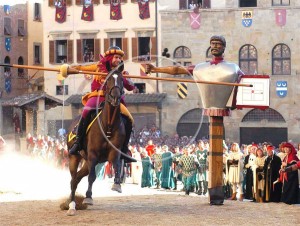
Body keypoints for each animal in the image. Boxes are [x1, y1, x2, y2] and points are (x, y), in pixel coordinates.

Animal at [66, 71, 126, 216]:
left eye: (121, 80)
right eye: (108, 79)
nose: (115, 97)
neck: (108, 125)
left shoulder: (114, 152)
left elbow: (116, 166)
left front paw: (117, 184)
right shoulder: (93, 154)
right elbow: (92, 177)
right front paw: (88, 197)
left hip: (87, 162)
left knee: (77, 178)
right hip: (74, 157)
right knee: (73, 179)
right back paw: (71, 205)